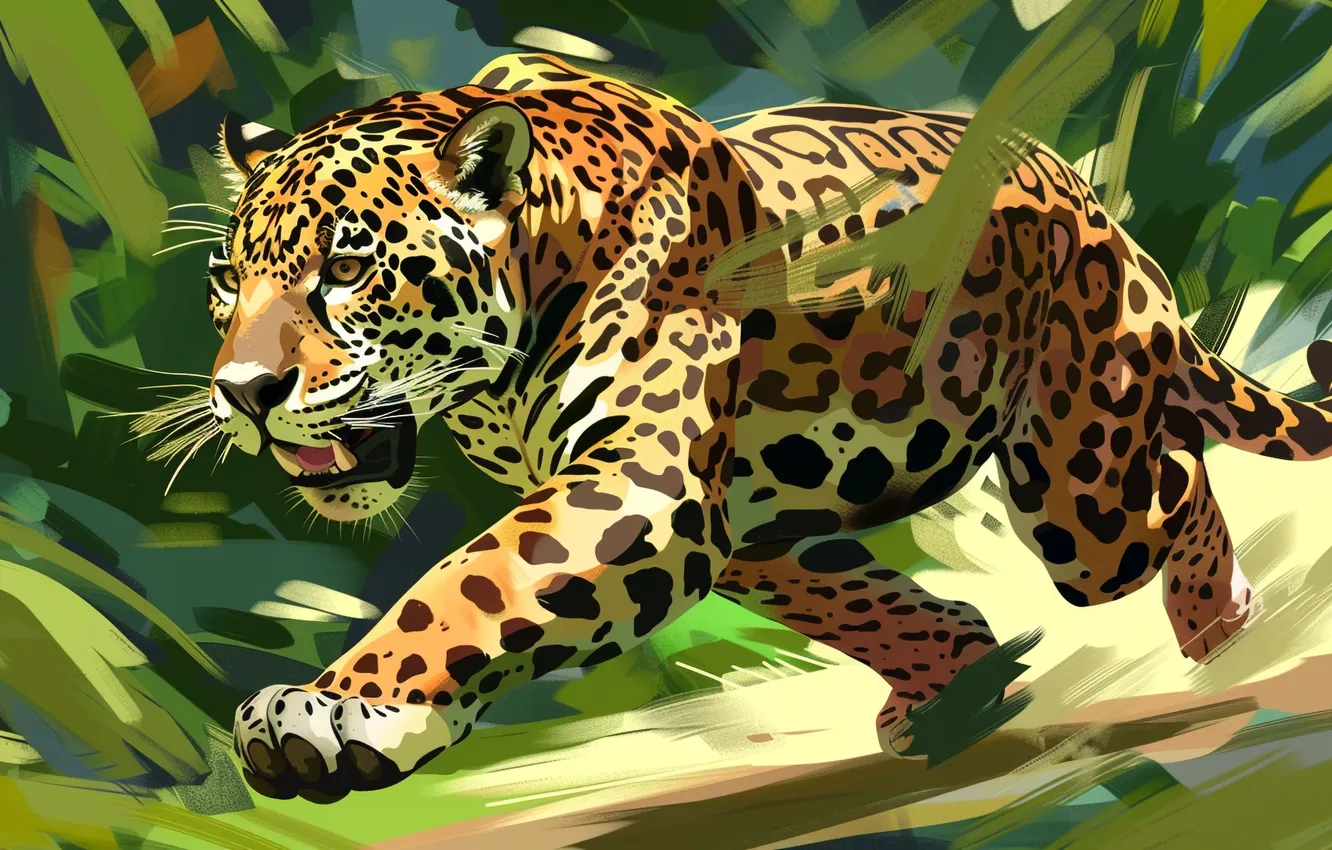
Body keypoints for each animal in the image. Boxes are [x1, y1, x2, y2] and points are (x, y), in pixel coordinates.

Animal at [199, 53, 1332, 803]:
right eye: (226, 278)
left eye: (348, 268)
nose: (245, 390)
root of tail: (1090, 200)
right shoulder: (694, 506)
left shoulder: (639, 480)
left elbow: (469, 586)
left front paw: (338, 710)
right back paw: (962, 690)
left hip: (1079, 488)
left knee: (1175, 482)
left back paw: (1223, 627)